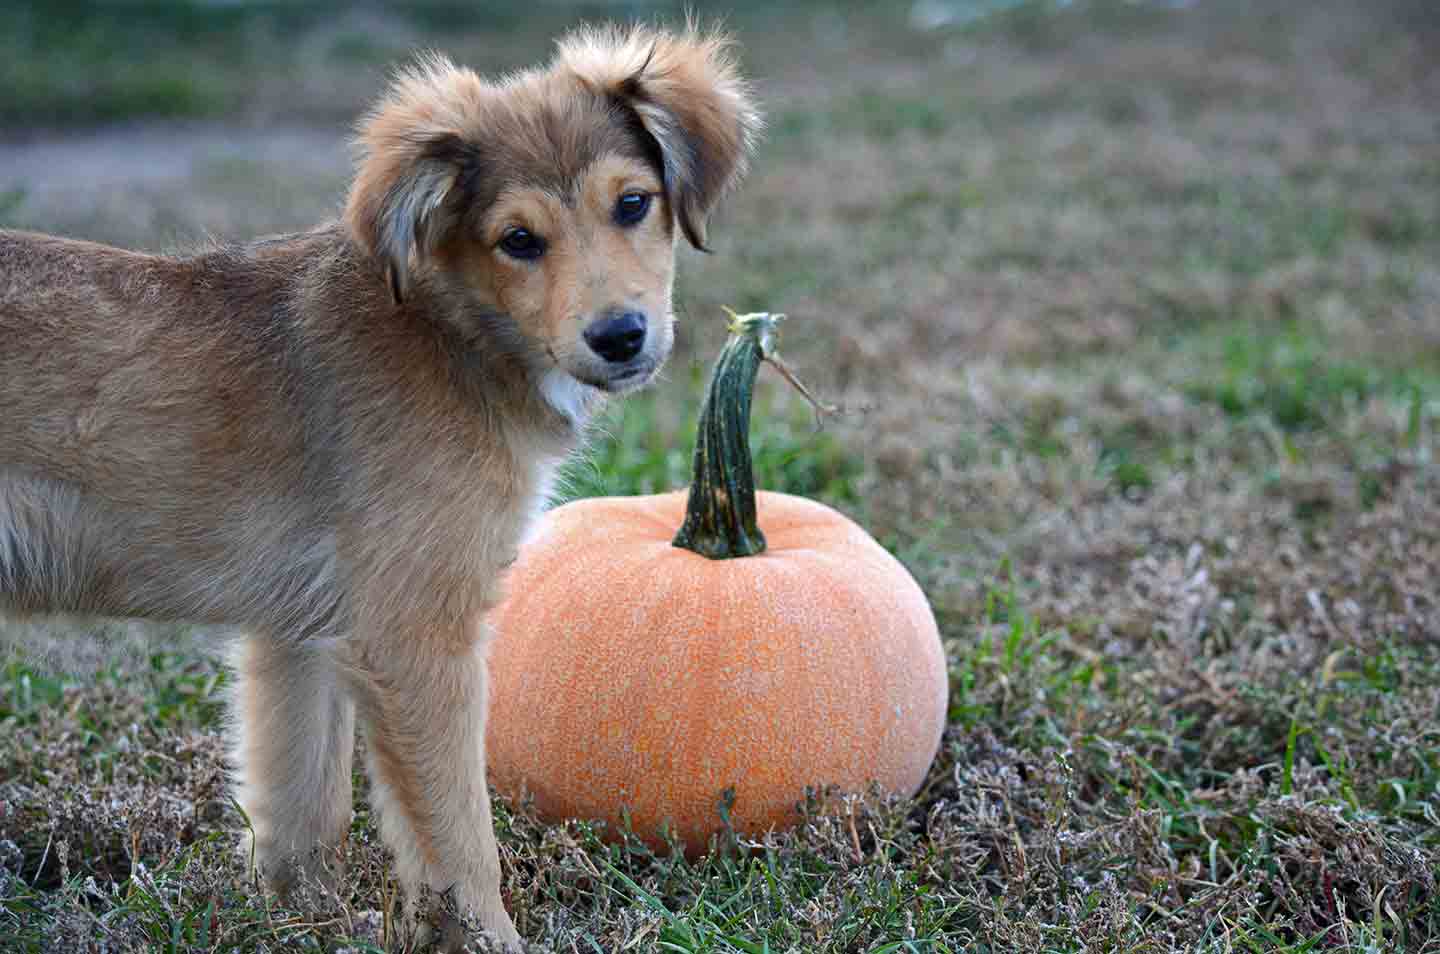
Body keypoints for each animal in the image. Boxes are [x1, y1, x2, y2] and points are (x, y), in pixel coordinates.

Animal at [0, 26, 760, 951]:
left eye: (633, 203)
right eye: (518, 240)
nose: (620, 337)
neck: (450, 331)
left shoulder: (294, 636)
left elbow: (298, 811)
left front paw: (305, 922)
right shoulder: (416, 639)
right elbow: (463, 841)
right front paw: (488, 938)